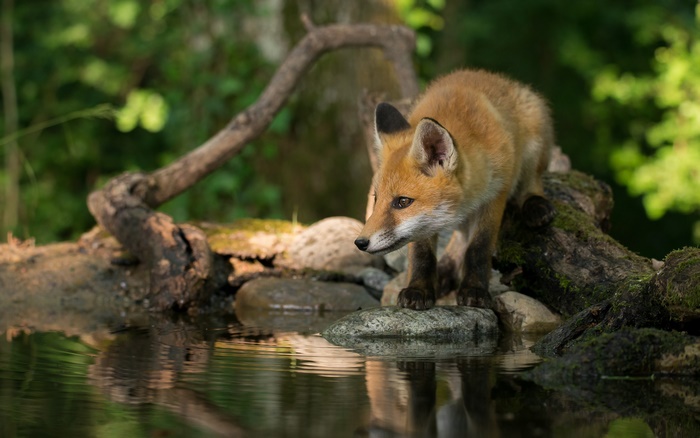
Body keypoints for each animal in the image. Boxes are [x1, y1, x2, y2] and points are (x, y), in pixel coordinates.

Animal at [354, 69, 556, 310]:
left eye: (402, 202)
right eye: (376, 199)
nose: (360, 243)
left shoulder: (496, 194)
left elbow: (478, 248)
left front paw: (474, 290)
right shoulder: (422, 225)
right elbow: (422, 255)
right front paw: (419, 289)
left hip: (534, 138)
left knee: (532, 182)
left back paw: (535, 205)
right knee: (458, 241)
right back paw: (443, 274)